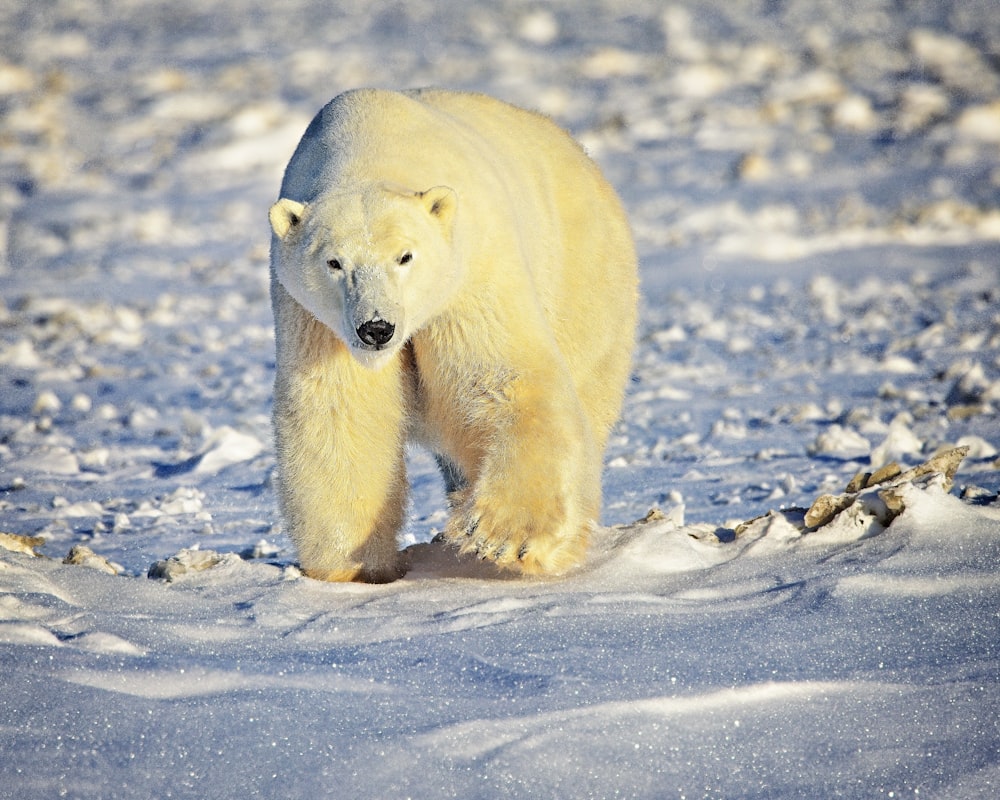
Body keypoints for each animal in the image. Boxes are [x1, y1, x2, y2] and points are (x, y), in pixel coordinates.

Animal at [270, 89, 636, 580]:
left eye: (405, 256)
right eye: (334, 262)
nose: (376, 329)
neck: (369, 148)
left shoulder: (471, 271)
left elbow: (499, 376)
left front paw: (504, 537)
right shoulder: (314, 318)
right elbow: (341, 409)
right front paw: (354, 565)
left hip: (584, 280)